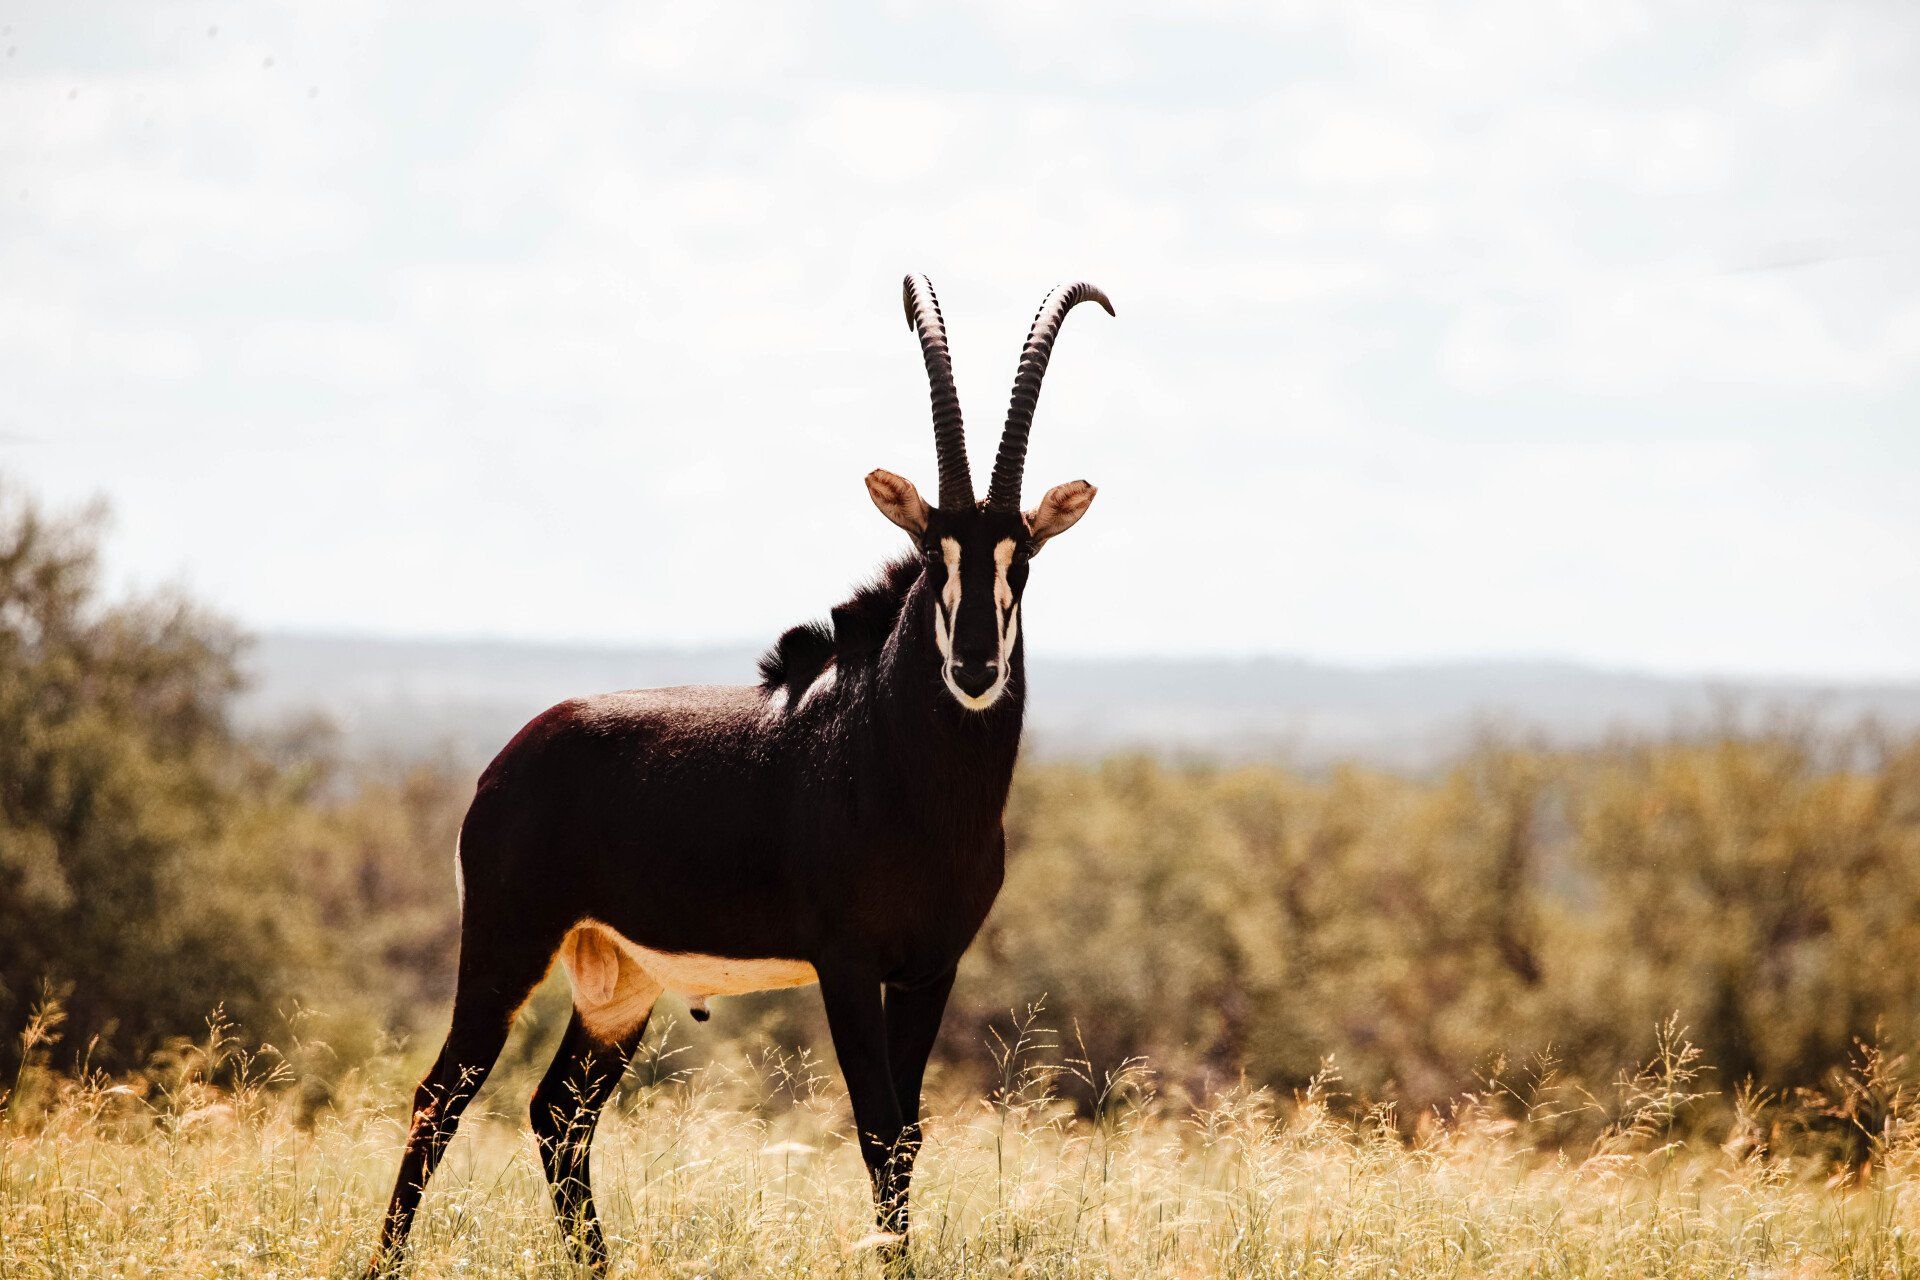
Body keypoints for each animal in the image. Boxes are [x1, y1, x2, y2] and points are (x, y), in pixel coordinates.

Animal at [367, 275, 1113, 1274]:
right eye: (934, 553)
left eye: (1019, 559)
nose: (975, 668)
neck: (910, 776)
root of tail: (506, 765)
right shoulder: (847, 965)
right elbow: (879, 1130)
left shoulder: (930, 968)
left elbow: (909, 1134)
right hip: (505, 947)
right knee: (440, 1097)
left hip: (617, 988)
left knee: (558, 1114)